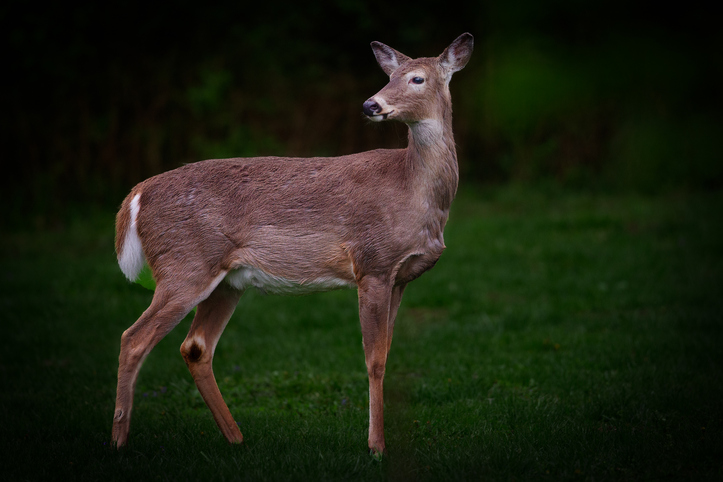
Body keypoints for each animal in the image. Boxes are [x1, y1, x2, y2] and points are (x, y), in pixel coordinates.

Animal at [112, 33, 473, 456]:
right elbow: (374, 360)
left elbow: (386, 354)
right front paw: (376, 447)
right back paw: (119, 441)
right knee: (133, 338)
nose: (371, 105)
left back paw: (236, 438)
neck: (413, 189)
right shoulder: (373, 262)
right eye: (389, 76)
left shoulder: (399, 277)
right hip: (184, 265)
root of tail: (137, 194)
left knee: (196, 347)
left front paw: (381, 442)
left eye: (418, 78)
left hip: (225, 280)